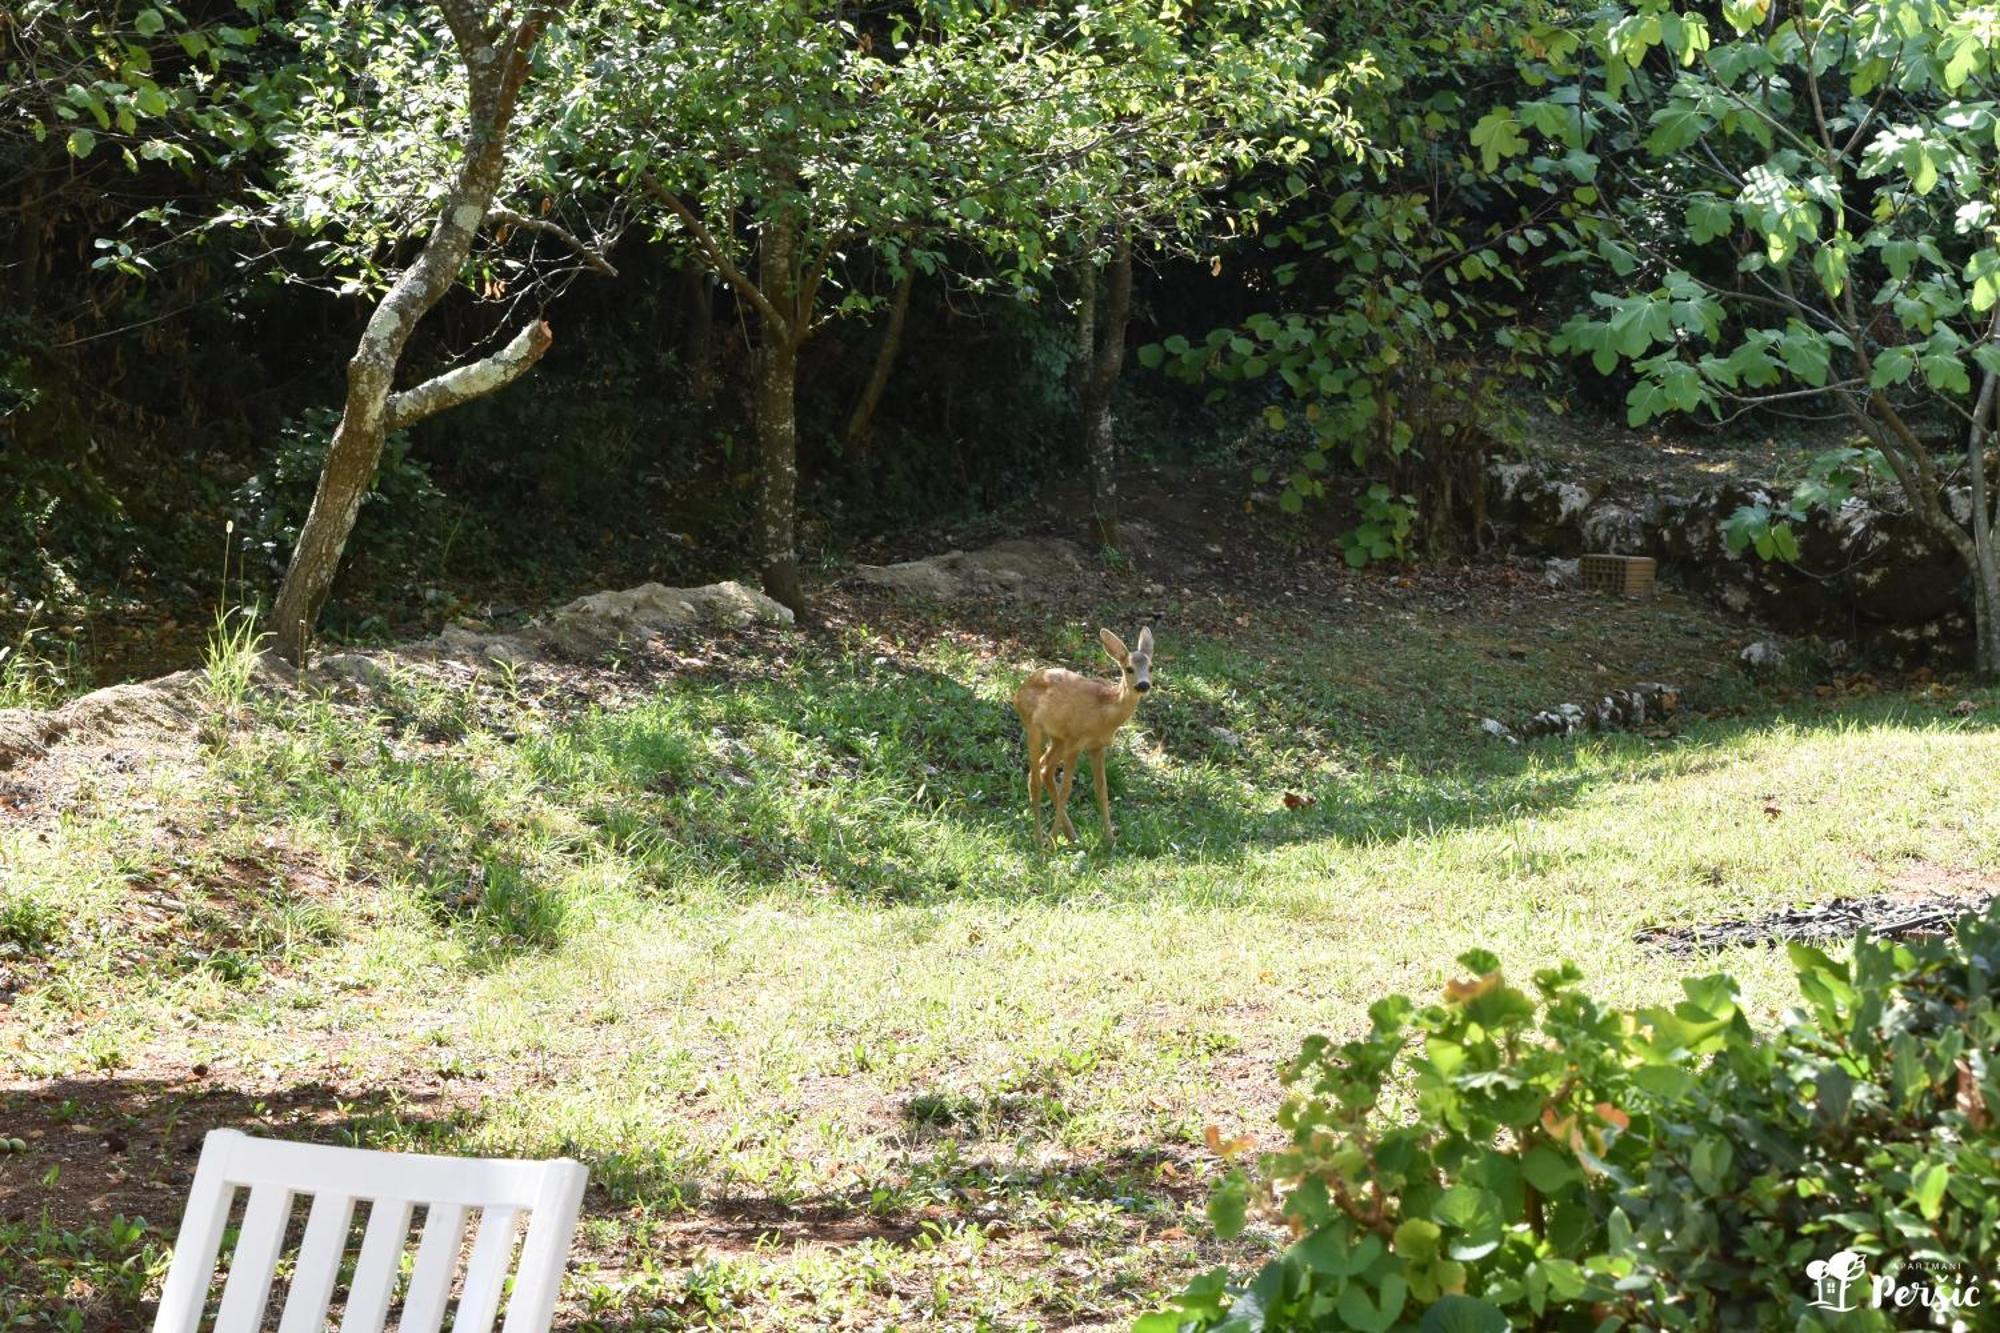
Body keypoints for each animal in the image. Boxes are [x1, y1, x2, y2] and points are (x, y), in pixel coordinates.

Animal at [1016, 624, 1160, 840]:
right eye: (1129, 668)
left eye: (1151, 667)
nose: (1143, 684)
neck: (1103, 714)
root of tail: (1017, 693)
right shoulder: (1075, 742)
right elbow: (1067, 790)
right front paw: (1052, 842)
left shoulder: (1097, 746)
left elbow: (1102, 790)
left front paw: (1110, 840)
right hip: (1034, 728)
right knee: (1034, 779)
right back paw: (1040, 840)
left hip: (1058, 737)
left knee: (1044, 768)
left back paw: (1071, 835)